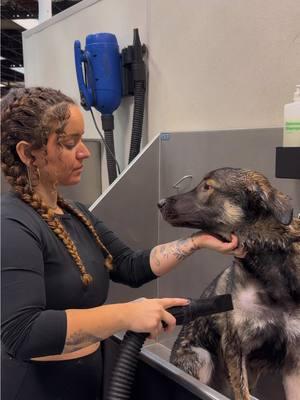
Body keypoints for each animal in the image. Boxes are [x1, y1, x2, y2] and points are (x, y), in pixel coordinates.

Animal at [158, 168, 298, 400]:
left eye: (207, 187)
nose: (159, 203)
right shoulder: (235, 346)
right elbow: (241, 391)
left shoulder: (294, 360)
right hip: (202, 357)